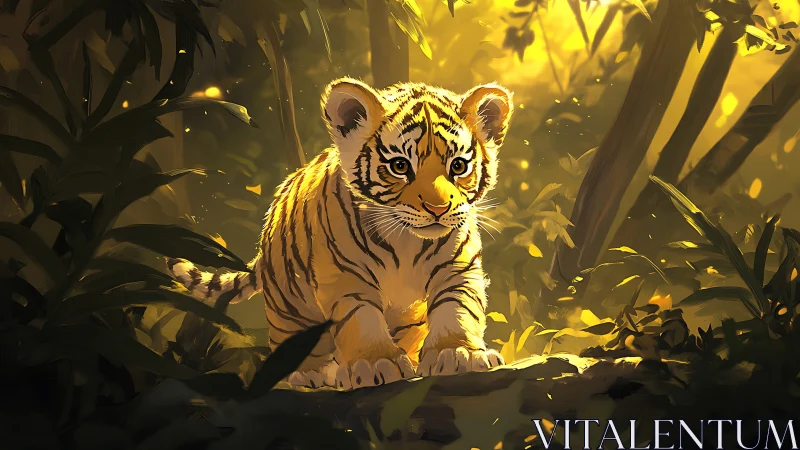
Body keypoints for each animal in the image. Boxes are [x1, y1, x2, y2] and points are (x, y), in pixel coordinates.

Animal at [169, 77, 514, 389]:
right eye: (400, 166)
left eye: (458, 166)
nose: (438, 209)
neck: (407, 241)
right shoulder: (346, 277)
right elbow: (360, 319)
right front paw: (376, 363)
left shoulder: (458, 268)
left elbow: (458, 308)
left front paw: (457, 354)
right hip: (287, 303)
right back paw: (309, 373)